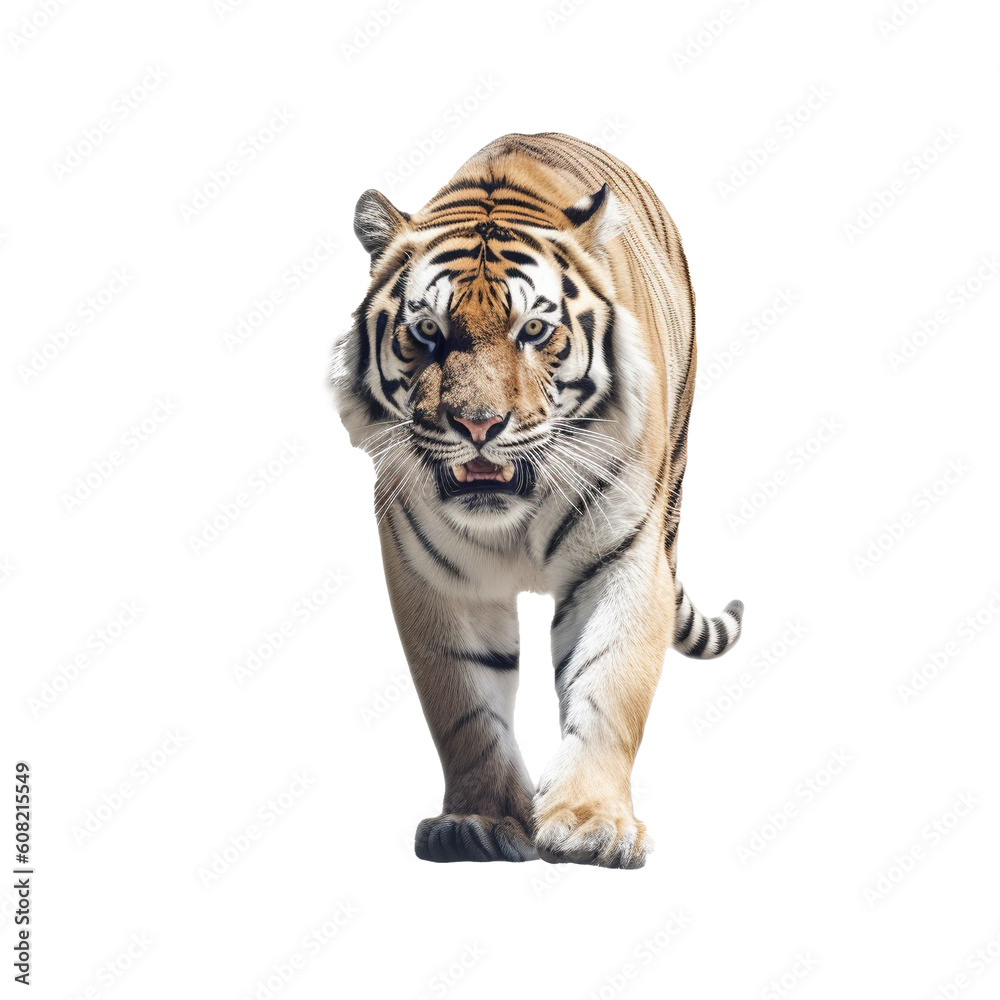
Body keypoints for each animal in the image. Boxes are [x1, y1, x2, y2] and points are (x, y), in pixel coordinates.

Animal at [331, 132, 743, 868]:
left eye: (532, 332)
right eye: (428, 333)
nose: (478, 425)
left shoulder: (625, 558)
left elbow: (609, 684)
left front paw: (590, 823)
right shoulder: (434, 575)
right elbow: (464, 705)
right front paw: (478, 820)